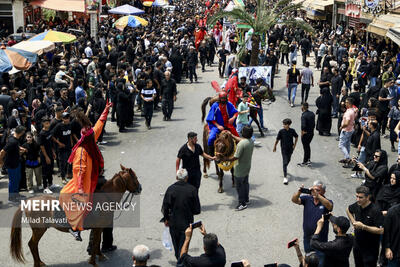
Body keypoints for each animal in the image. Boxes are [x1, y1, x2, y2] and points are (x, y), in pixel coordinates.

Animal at [9, 165, 142, 267]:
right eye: (135, 177)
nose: (140, 188)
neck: (104, 198)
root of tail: (28, 201)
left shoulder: (98, 228)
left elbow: (97, 242)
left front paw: (99, 255)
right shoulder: (98, 228)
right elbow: (95, 242)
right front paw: (93, 262)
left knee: (33, 245)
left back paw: (40, 262)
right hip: (39, 230)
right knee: (32, 244)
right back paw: (37, 263)